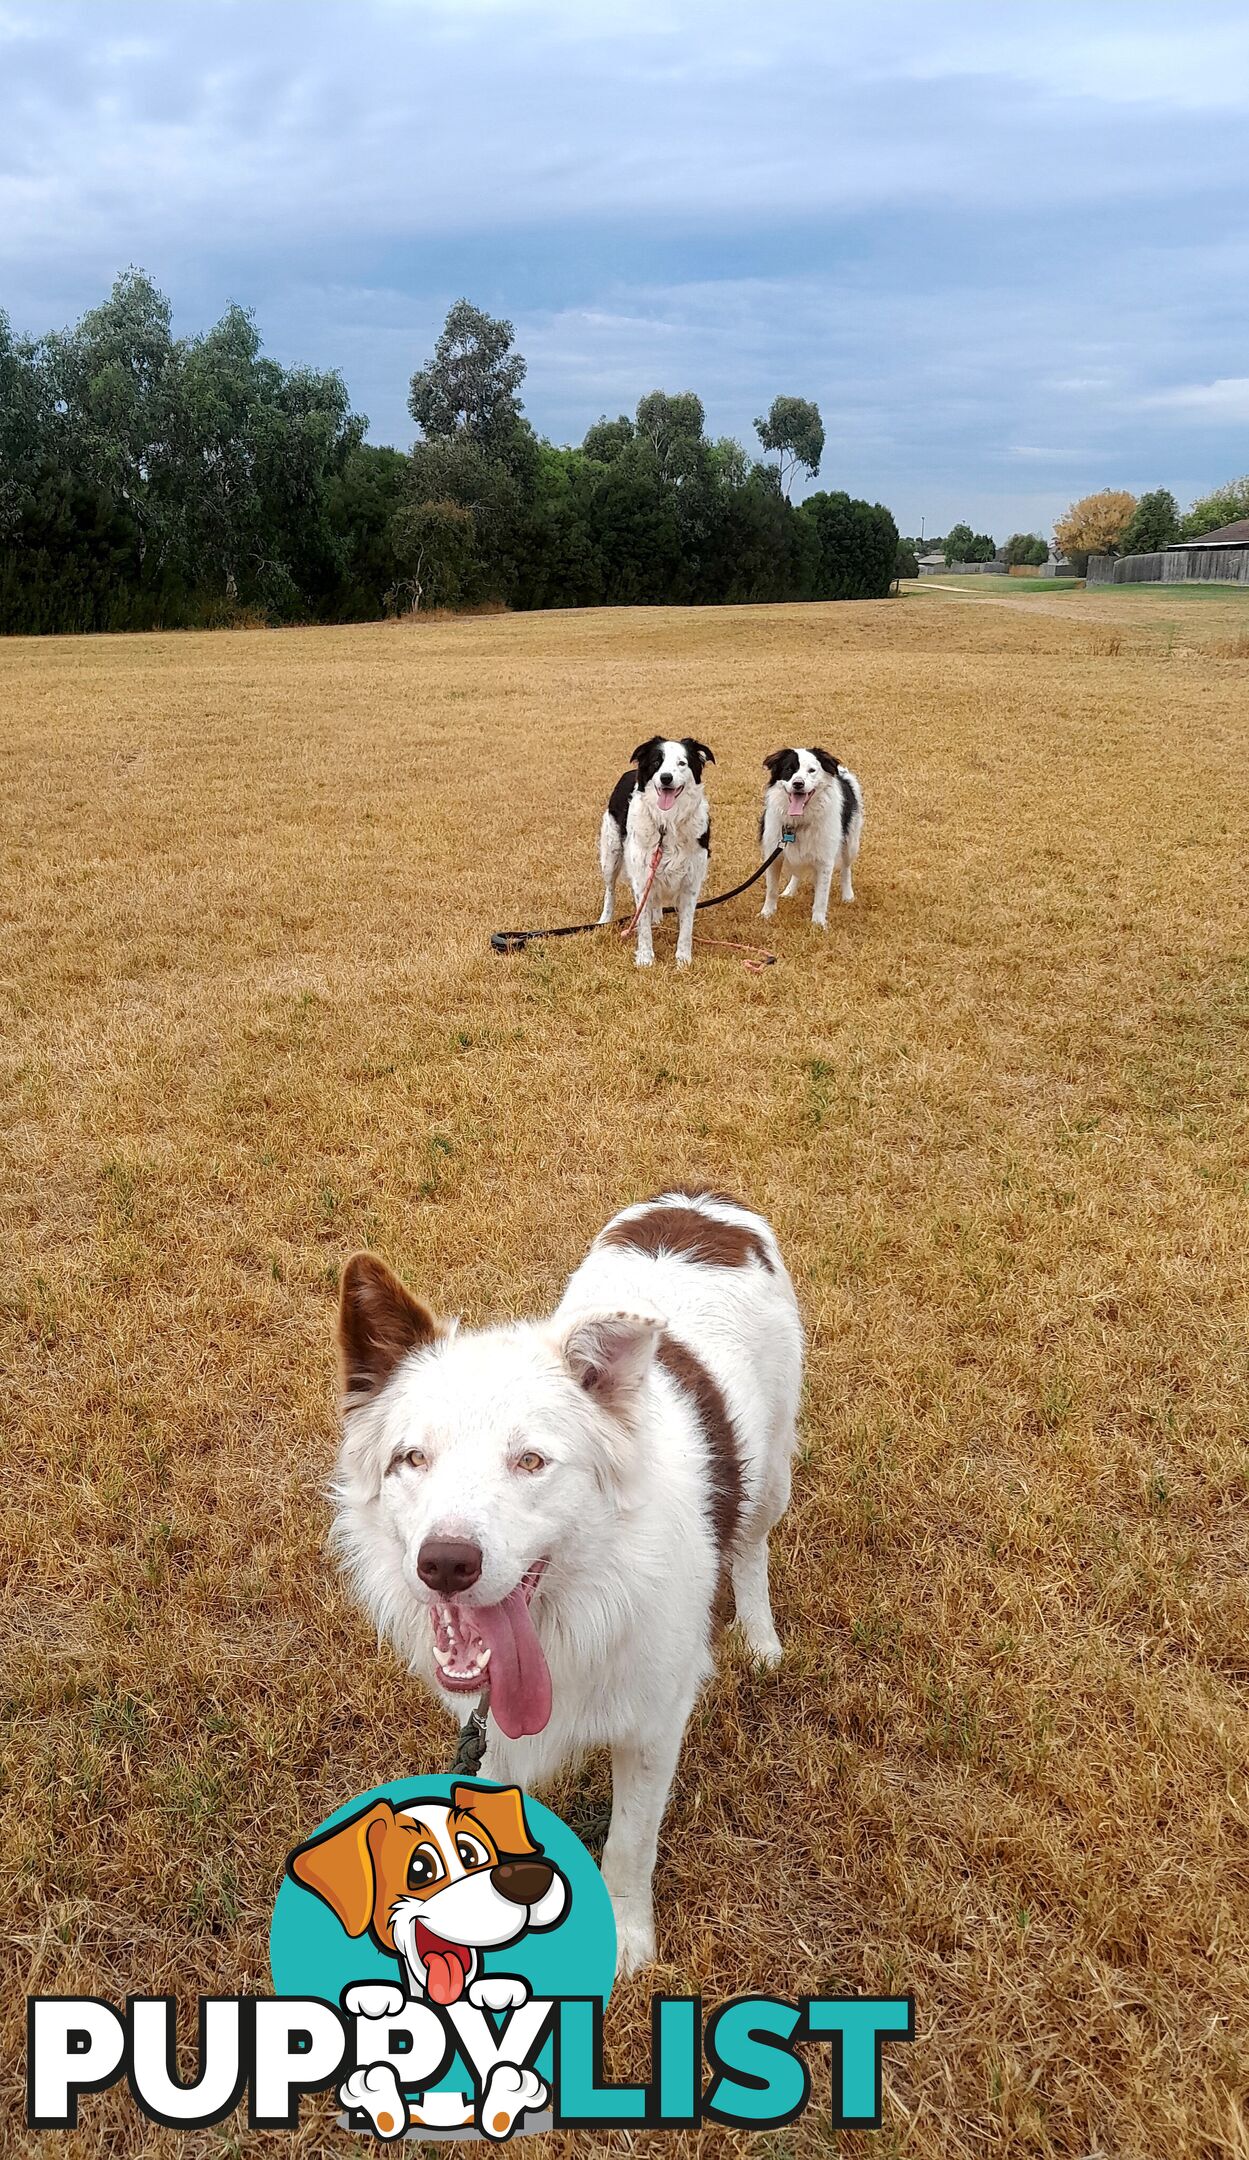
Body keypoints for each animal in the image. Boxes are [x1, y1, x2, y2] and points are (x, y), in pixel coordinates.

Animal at [328, 1192, 795, 1978]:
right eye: (412, 1458)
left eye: (531, 1462)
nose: (444, 1564)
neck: (573, 1607)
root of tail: (701, 1199)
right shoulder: (487, 1737)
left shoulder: (654, 1721)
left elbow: (630, 1844)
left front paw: (626, 1943)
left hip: (775, 1471)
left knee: (753, 1546)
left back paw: (759, 1638)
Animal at [596, 738, 713, 967]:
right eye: (656, 762)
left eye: (682, 763)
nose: (665, 778)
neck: (666, 823)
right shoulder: (641, 876)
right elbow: (643, 924)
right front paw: (645, 957)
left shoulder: (691, 881)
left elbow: (686, 926)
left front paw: (683, 959)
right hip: (611, 855)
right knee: (610, 891)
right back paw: (605, 919)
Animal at [751, 747, 860, 924]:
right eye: (789, 769)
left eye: (812, 770)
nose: (798, 784)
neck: (798, 822)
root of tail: (842, 772)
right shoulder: (773, 855)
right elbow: (771, 890)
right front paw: (766, 914)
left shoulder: (825, 860)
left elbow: (821, 897)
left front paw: (818, 923)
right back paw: (789, 891)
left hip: (851, 843)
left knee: (846, 868)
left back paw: (848, 895)